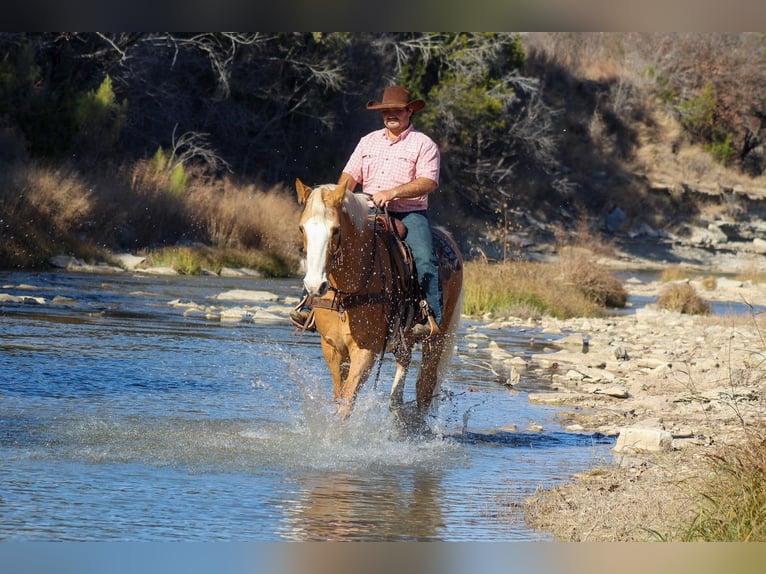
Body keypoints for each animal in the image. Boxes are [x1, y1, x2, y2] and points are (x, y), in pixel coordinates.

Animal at [295, 178, 464, 427]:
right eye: (302, 228)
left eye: (335, 229)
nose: (315, 285)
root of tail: (446, 236)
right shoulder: (332, 348)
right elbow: (339, 395)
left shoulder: (366, 350)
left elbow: (347, 400)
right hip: (405, 337)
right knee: (404, 367)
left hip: (438, 337)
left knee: (425, 386)